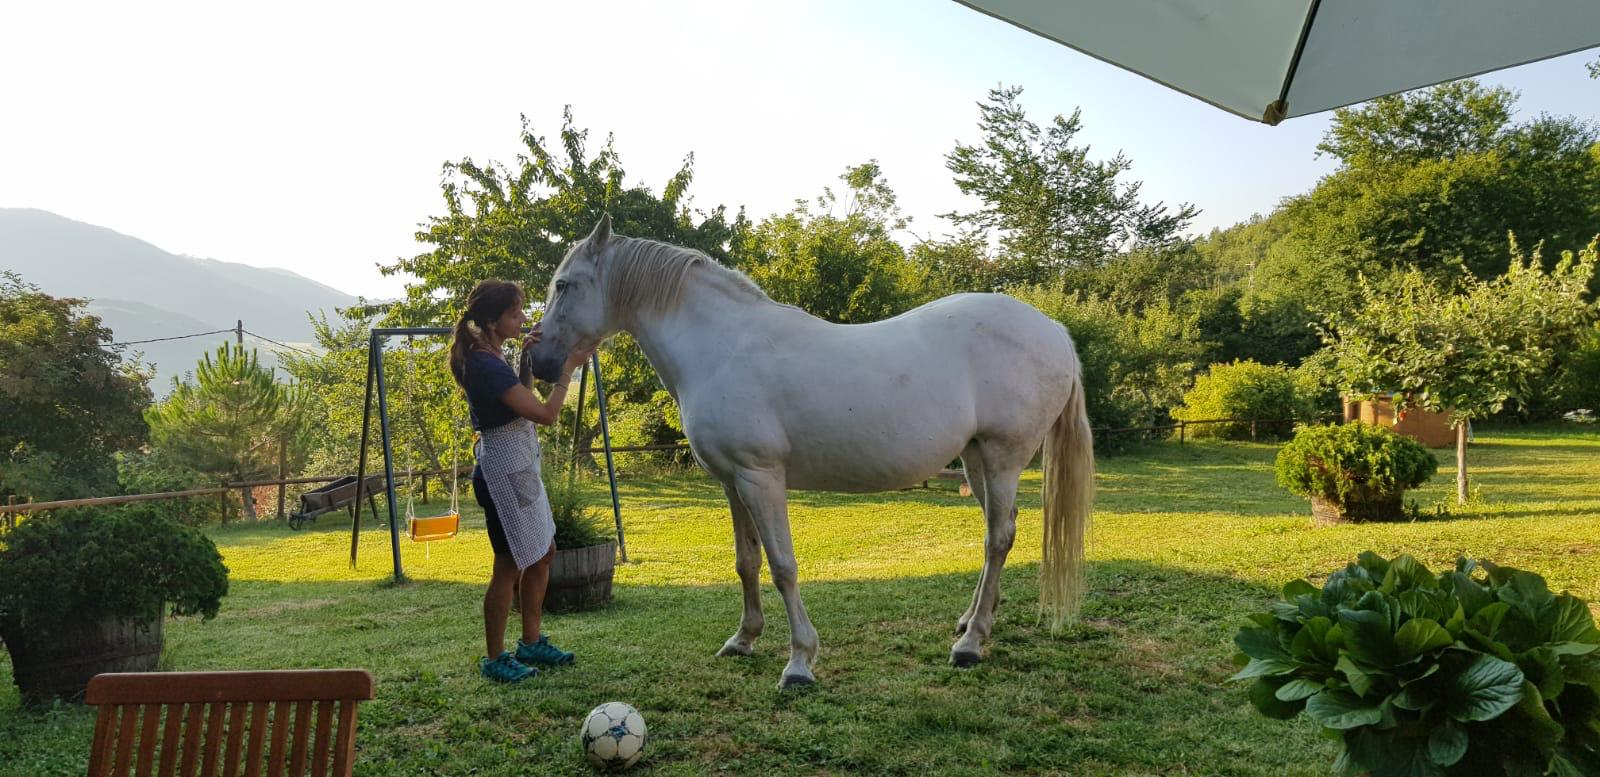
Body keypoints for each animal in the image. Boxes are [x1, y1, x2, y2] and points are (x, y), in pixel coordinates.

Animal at [531, 215, 1094, 687]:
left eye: (563, 285)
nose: (539, 361)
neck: (722, 347)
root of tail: (1052, 329)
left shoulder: (760, 477)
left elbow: (782, 565)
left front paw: (800, 662)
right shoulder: (732, 482)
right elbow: (747, 561)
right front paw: (743, 639)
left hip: (1002, 458)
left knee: (998, 539)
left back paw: (971, 643)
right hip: (976, 462)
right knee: (997, 534)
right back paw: (974, 620)